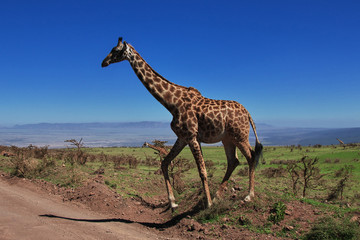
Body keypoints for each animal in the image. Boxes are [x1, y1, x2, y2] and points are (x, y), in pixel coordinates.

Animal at [102, 37, 262, 208]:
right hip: (227, 139)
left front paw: (208, 204)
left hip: (240, 136)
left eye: (115, 50)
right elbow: (165, 163)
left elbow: (202, 171)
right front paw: (173, 203)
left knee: (251, 156)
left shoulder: (191, 136)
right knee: (233, 161)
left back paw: (249, 195)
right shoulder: (183, 137)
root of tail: (247, 113)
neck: (172, 104)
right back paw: (218, 196)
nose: (104, 62)